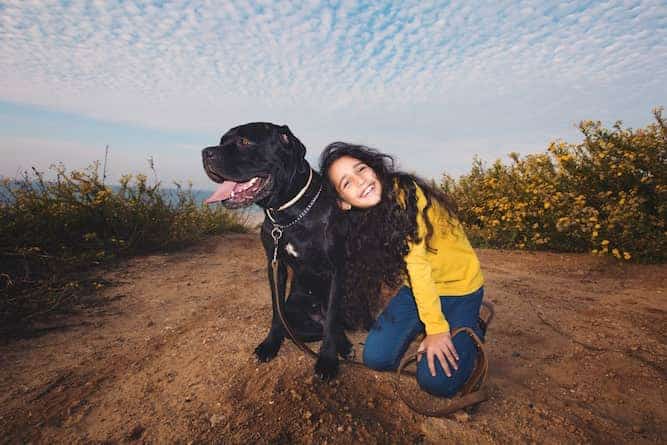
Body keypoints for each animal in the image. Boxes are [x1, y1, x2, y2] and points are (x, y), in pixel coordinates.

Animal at [201, 123, 352, 380]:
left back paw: (344, 345)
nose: (205, 152)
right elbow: (276, 311)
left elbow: (333, 318)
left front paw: (327, 360)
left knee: (332, 323)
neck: (289, 214)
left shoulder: (336, 270)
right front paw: (271, 344)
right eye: (221, 141)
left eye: (244, 141)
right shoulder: (275, 267)